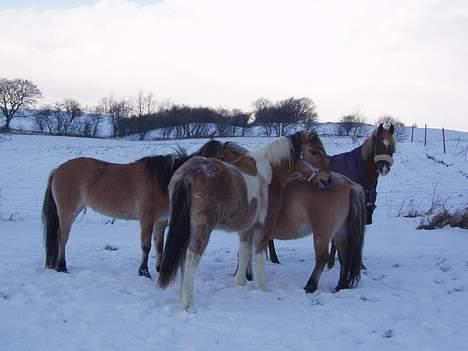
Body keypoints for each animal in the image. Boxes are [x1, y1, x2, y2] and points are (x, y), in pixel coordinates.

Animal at [41, 140, 225, 278]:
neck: (164, 180)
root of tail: (58, 169)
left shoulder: (161, 221)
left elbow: (159, 245)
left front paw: (159, 269)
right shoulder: (147, 219)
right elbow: (146, 246)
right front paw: (144, 272)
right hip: (68, 211)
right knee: (62, 237)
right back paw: (61, 266)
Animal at [157, 131, 330, 310]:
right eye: (314, 151)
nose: (327, 179)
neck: (270, 174)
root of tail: (187, 174)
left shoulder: (246, 230)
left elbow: (245, 253)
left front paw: (240, 284)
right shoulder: (263, 228)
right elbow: (259, 256)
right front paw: (262, 288)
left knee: (182, 258)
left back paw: (181, 297)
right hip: (201, 228)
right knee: (191, 257)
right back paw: (188, 303)